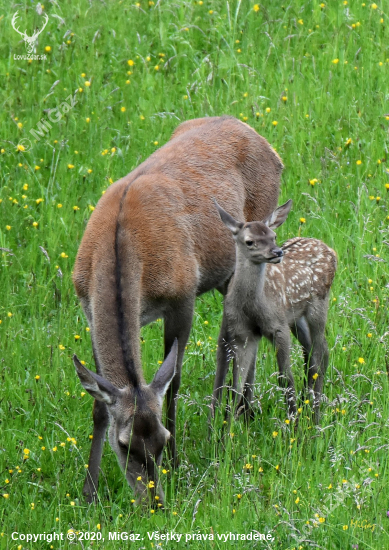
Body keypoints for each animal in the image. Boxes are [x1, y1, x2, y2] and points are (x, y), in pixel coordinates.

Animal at [72, 115, 282, 504]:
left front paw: (178, 463)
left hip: (251, 246)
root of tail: (264, 141)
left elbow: (174, 382)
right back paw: (233, 413)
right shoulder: (87, 306)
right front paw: (89, 491)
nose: (153, 504)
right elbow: (98, 404)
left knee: (234, 333)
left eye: (161, 440)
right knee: (232, 331)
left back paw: (233, 417)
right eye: (125, 446)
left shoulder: (182, 297)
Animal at [212, 201, 336, 424]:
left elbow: (284, 377)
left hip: (318, 304)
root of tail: (331, 251)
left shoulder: (278, 327)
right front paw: (227, 429)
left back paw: (315, 415)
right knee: (312, 351)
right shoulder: (243, 333)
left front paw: (293, 423)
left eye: (274, 236)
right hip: (296, 317)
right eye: (250, 241)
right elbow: (236, 385)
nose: (277, 252)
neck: (253, 306)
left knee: (321, 352)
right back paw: (308, 402)